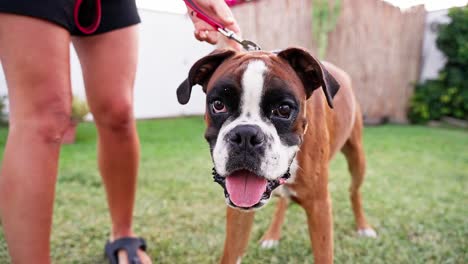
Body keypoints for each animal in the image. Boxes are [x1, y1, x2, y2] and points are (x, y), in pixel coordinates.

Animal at [176, 48, 376, 264]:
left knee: (354, 191)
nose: (245, 135)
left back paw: (364, 227)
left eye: (284, 109)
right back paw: (272, 236)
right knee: (284, 201)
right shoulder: (238, 213)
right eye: (218, 105)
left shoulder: (319, 207)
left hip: (357, 159)